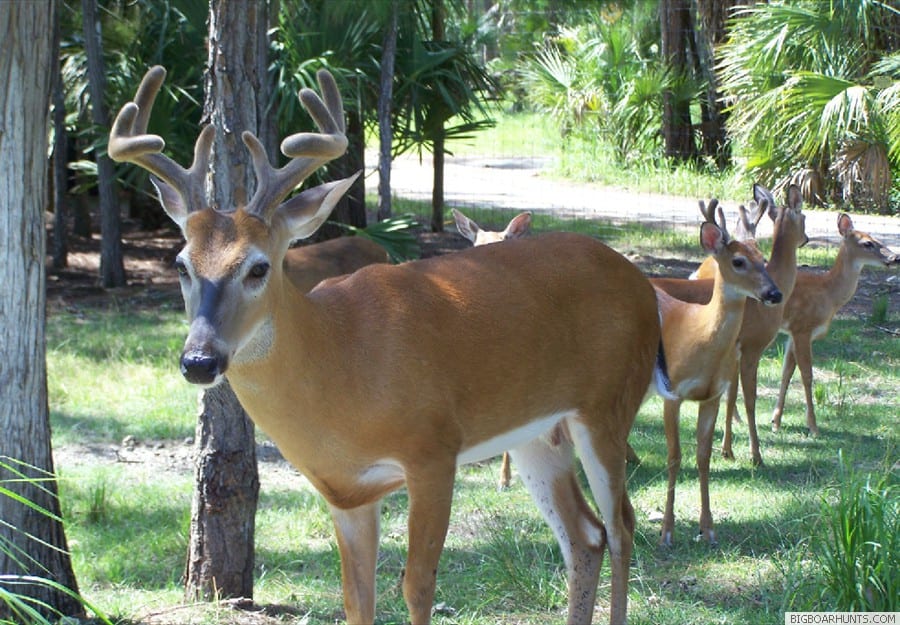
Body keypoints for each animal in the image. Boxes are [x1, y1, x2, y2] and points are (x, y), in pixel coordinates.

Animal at [110, 65, 672, 625]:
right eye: (181, 264)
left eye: (258, 267)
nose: (199, 360)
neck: (338, 362)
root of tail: (642, 284)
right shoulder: (346, 492)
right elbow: (357, 599)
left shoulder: (433, 449)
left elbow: (417, 586)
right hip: (537, 430)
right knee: (586, 536)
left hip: (607, 405)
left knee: (622, 525)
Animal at [649, 213, 782, 546]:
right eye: (738, 261)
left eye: (763, 259)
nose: (775, 294)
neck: (697, 336)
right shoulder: (672, 392)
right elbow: (674, 456)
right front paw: (666, 531)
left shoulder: (711, 396)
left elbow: (703, 456)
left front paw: (707, 528)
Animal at [654, 186, 808, 467]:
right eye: (804, 217)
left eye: (762, 256)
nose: (807, 238)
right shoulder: (751, 347)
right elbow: (749, 399)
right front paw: (755, 454)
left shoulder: (732, 354)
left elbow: (730, 396)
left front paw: (727, 450)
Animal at [772, 213, 898, 436]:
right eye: (867, 243)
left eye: (876, 238)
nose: (894, 257)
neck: (828, 293)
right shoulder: (803, 327)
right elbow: (807, 375)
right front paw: (813, 426)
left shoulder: (792, 332)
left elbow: (786, 373)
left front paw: (775, 423)